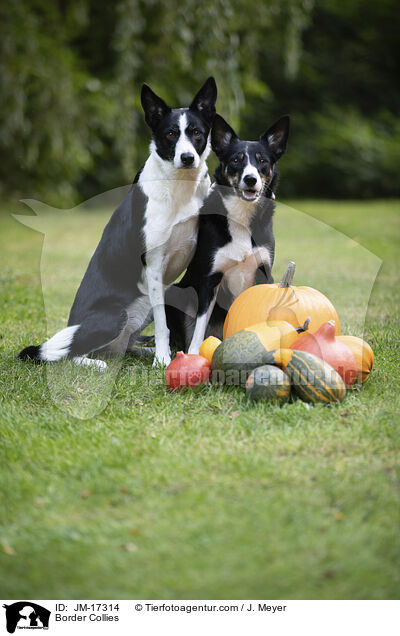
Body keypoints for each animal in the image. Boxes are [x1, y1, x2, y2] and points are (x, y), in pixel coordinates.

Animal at [18, 78, 219, 368]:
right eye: (170, 134)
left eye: (196, 133)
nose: (187, 158)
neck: (180, 186)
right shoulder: (154, 265)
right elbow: (163, 325)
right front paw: (162, 361)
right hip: (116, 315)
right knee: (68, 354)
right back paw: (99, 364)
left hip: (147, 305)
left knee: (126, 347)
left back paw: (141, 352)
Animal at [166, 113, 290, 352]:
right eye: (236, 160)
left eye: (262, 161)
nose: (250, 179)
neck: (241, 217)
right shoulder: (210, 279)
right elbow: (199, 328)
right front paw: (194, 356)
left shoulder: (263, 274)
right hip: (173, 292)